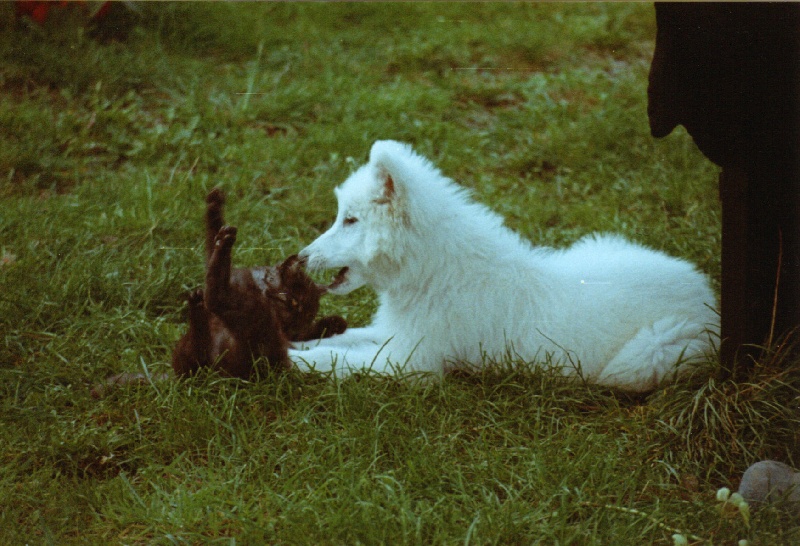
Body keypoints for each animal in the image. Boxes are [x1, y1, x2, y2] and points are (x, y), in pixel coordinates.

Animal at [290, 138, 720, 388]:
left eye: (350, 220)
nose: (299, 259)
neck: (434, 271)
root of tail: (707, 296)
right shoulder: (395, 334)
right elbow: (343, 338)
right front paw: (297, 343)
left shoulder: (412, 362)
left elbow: (338, 359)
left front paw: (290, 362)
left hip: (645, 356)